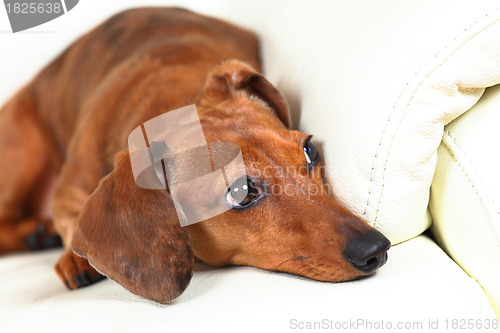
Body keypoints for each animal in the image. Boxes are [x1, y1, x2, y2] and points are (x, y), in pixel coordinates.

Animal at [0, 6, 390, 302]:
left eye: (309, 150)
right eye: (241, 192)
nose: (377, 247)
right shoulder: (68, 193)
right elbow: (69, 223)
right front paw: (73, 259)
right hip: (22, 157)